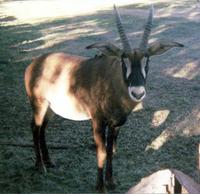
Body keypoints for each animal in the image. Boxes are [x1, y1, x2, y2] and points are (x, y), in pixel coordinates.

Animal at [24, 4, 184, 191]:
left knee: (42, 128)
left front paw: (111, 181)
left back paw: (48, 162)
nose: (137, 92)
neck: (112, 81)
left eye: (147, 59)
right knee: (34, 128)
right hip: (39, 105)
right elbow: (101, 152)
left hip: (50, 108)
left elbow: (110, 151)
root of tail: (34, 64)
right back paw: (40, 166)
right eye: (123, 60)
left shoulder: (114, 125)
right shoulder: (98, 121)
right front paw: (100, 187)